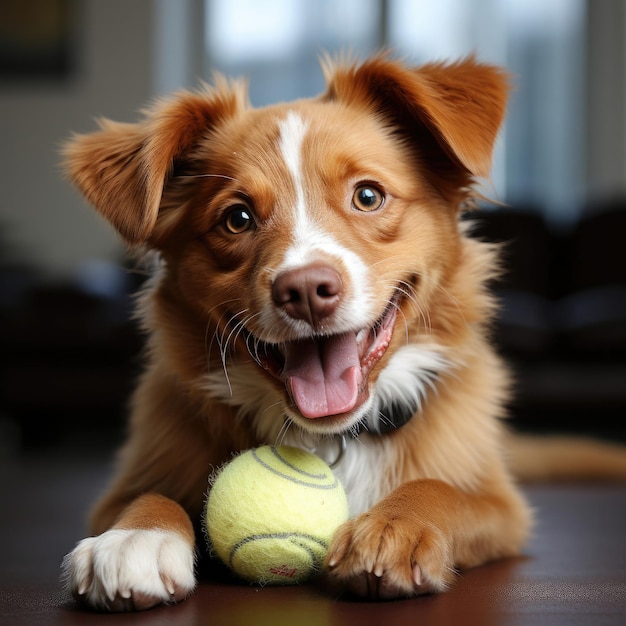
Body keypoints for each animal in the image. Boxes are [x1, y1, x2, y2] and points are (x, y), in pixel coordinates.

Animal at [59, 53, 624, 608]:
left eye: (368, 196)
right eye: (237, 218)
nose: (307, 290)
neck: (329, 437)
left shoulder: (502, 506)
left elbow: (438, 489)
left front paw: (397, 525)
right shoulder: (129, 481)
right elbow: (148, 493)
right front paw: (138, 536)